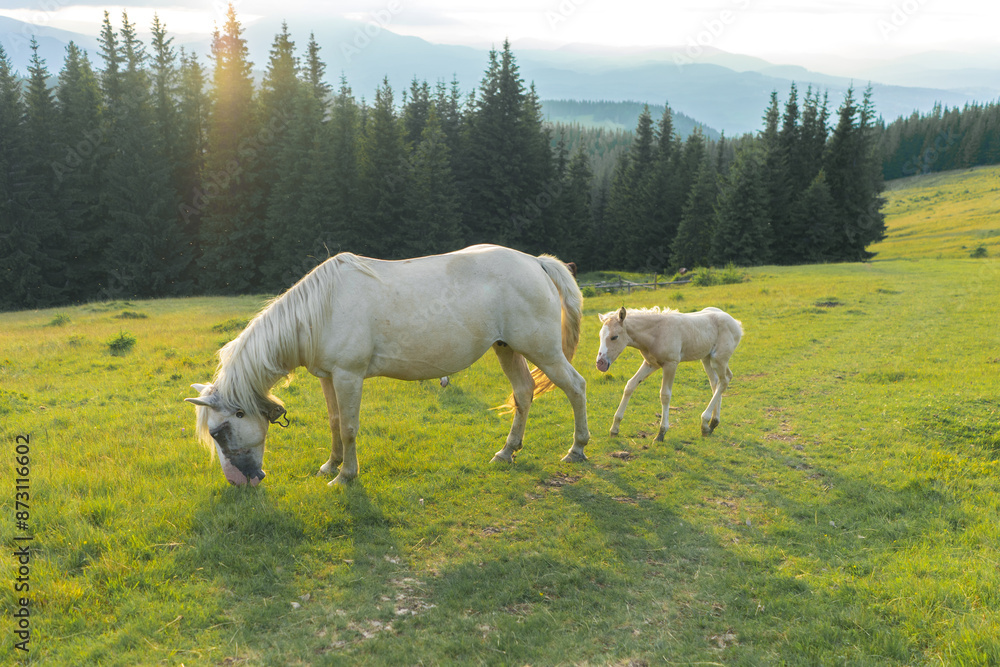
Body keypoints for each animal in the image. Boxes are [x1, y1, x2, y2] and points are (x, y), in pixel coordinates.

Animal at [185, 244, 590, 486]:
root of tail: (536, 262)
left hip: (544, 351)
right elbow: (334, 422)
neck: (320, 310)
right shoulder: (329, 378)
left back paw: (577, 449)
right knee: (523, 393)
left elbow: (349, 427)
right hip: (507, 349)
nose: (242, 481)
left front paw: (345, 476)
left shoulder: (349, 377)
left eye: (219, 432)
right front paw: (330, 465)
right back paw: (507, 452)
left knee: (575, 387)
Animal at [595, 306, 742, 439]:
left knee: (724, 381)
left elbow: (665, 395)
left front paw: (661, 433)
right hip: (706, 358)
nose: (600, 363)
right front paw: (614, 429)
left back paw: (705, 422)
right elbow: (630, 386)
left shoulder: (671, 364)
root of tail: (736, 323)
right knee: (715, 382)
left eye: (614, 337)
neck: (656, 333)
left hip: (718, 359)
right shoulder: (650, 364)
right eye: (600, 336)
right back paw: (712, 424)